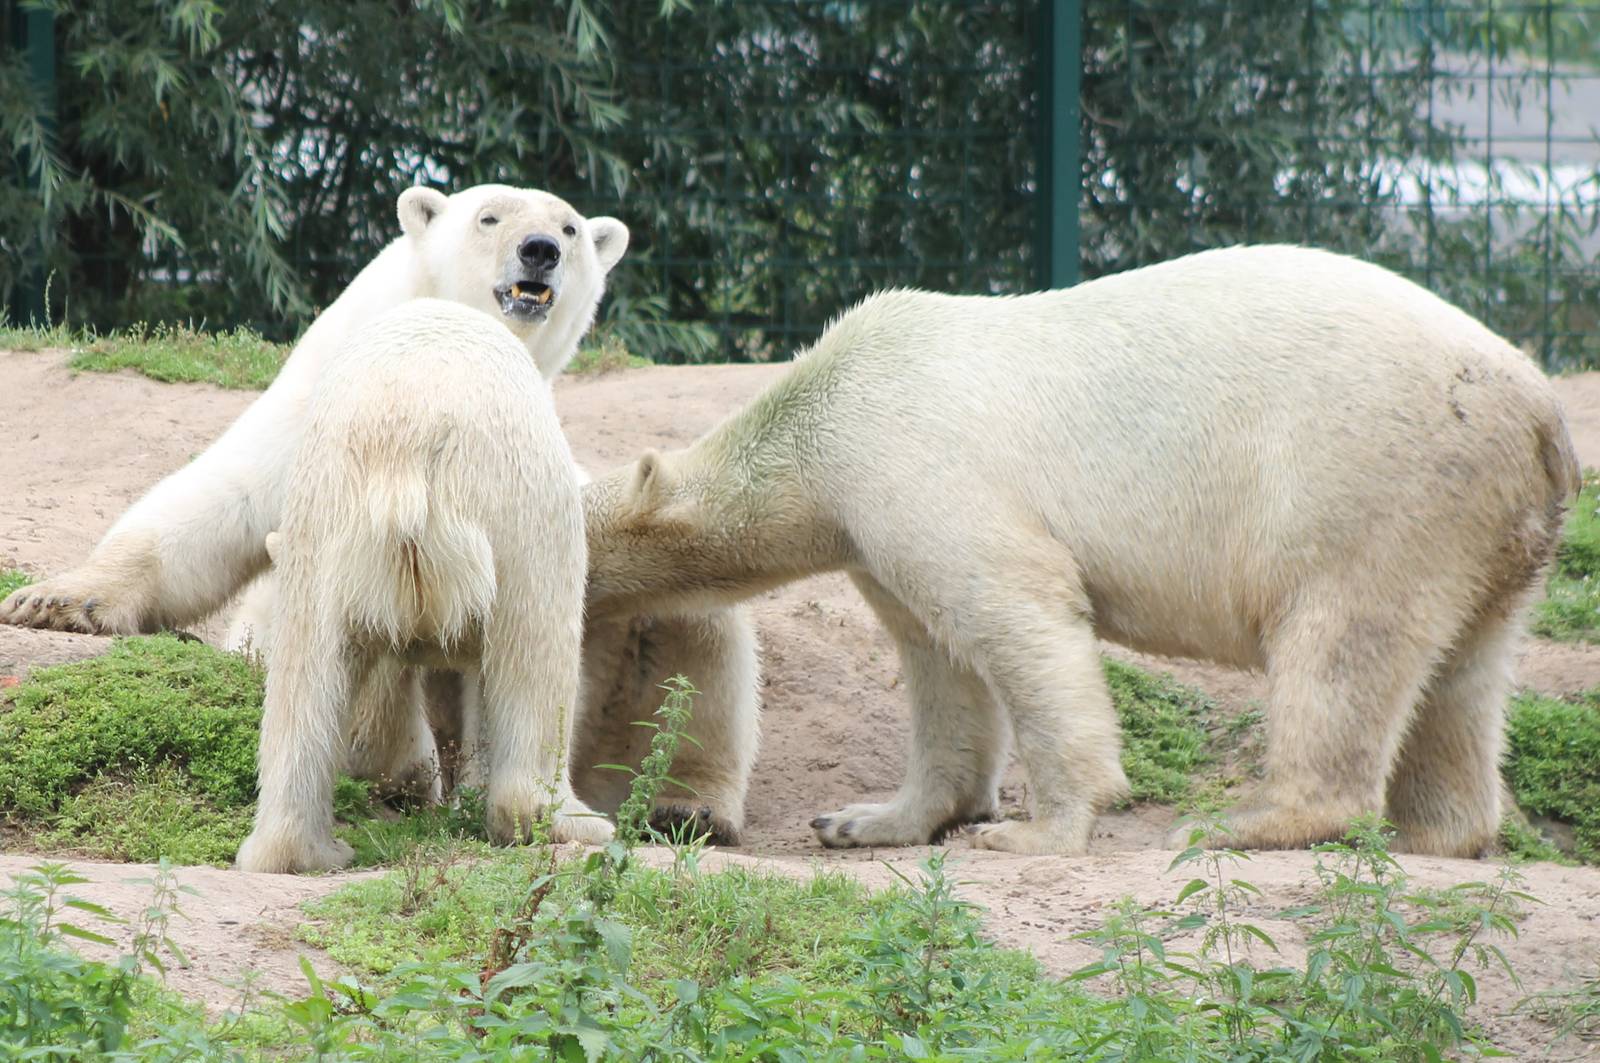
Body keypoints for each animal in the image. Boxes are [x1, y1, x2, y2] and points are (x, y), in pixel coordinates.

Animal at [236, 299, 608, 874]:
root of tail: (408, 436)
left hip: (325, 513)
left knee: (306, 676)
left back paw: (301, 850)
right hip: (514, 503)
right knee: (536, 652)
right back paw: (568, 821)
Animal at [579, 244, 1580, 859]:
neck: (824, 412)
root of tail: (1541, 406)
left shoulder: (917, 466)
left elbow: (1017, 616)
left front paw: (1033, 830)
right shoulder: (874, 534)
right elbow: (939, 660)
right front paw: (866, 818)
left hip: (1375, 483)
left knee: (1341, 642)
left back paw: (1245, 821)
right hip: (1485, 523)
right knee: (1466, 673)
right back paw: (1440, 832)